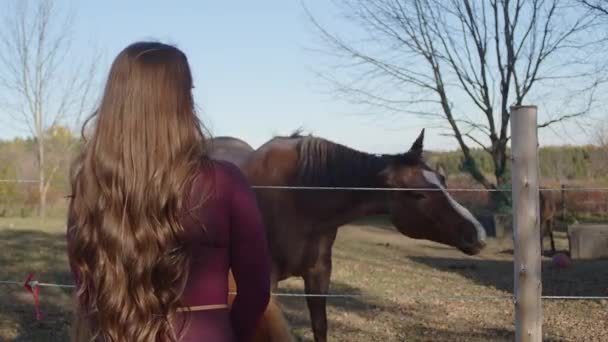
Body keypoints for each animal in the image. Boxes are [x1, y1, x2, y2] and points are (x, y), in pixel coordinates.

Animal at [211, 129, 486, 342]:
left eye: (443, 180)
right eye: (418, 195)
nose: (478, 234)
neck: (298, 197)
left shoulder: (319, 273)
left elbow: (320, 327)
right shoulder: (266, 281)